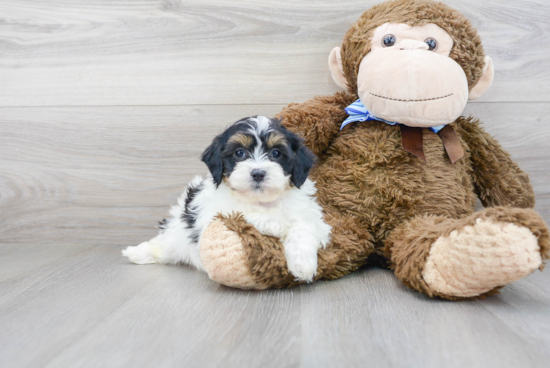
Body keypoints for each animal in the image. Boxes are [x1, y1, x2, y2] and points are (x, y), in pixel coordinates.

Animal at [122, 115, 332, 282]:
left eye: (276, 153)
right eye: (239, 153)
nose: (258, 173)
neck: (262, 200)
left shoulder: (311, 216)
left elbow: (302, 226)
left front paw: (303, 264)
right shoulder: (211, 216)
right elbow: (238, 211)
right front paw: (274, 223)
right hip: (177, 232)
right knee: (164, 244)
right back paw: (136, 253)